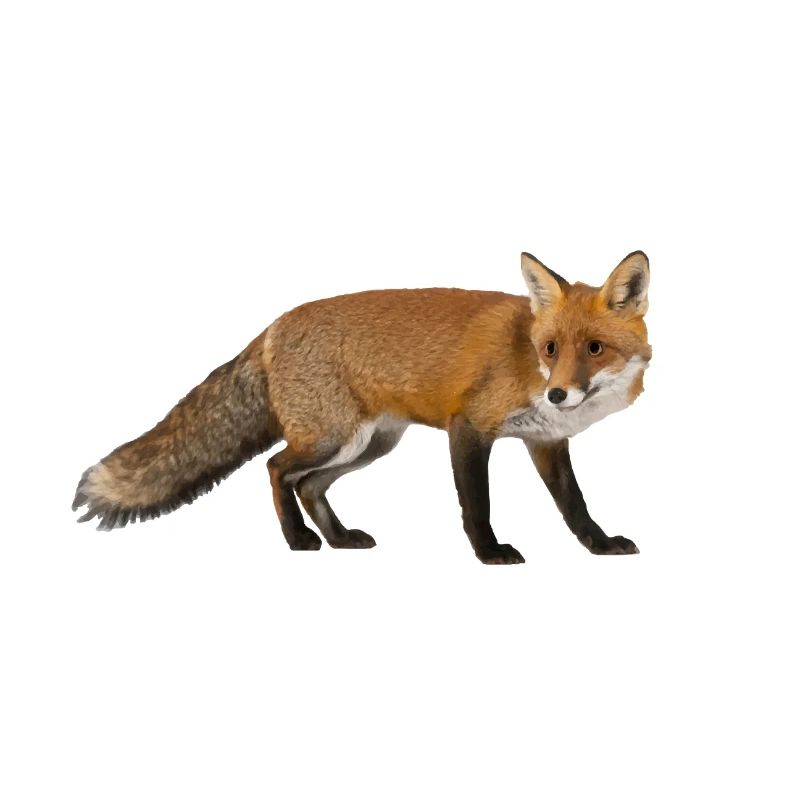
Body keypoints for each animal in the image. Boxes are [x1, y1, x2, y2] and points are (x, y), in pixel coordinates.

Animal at [73, 250, 651, 564]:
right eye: (550, 348)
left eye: (594, 348)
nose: (558, 394)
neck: (526, 361)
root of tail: (273, 326)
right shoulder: (468, 428)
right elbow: (477, 506)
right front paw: (489, 554)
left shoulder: (545, 442)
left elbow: (575, 506)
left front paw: (599, 545)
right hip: (334, 437)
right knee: (276, 467)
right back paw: (299, 540)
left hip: (370, 445)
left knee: (307, 485)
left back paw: (338, 538)